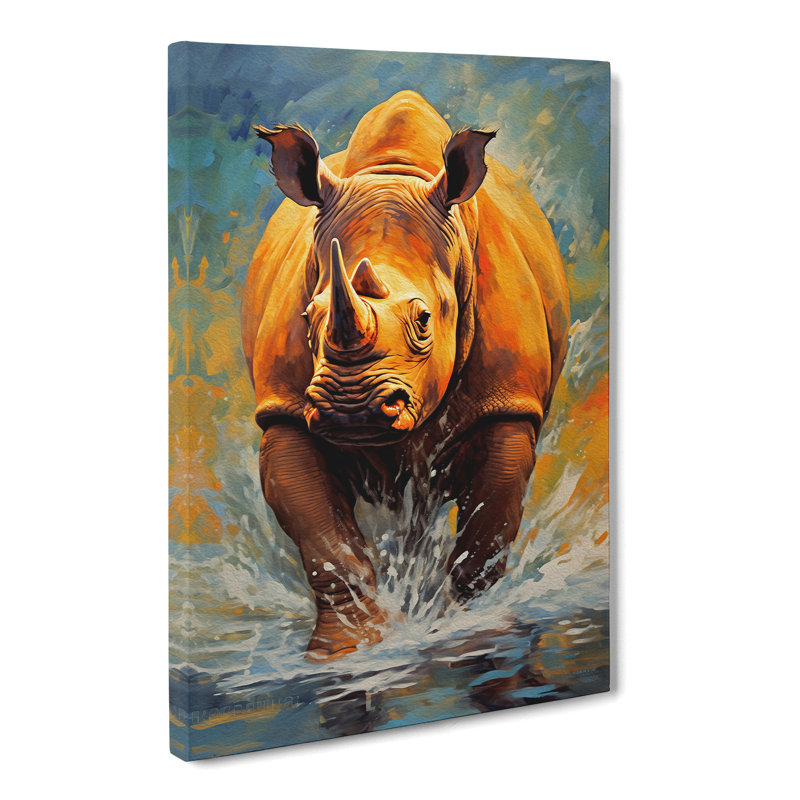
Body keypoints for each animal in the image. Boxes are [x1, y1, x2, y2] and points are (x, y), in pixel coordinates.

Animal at [242, 91, 569, 660]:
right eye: (308, 317)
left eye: (424, 320)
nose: (351, 409)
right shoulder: (285, 412)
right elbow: (325, 543)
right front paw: (346, 653)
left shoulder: (508, 406)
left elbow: (485, 535)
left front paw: (466, 631)